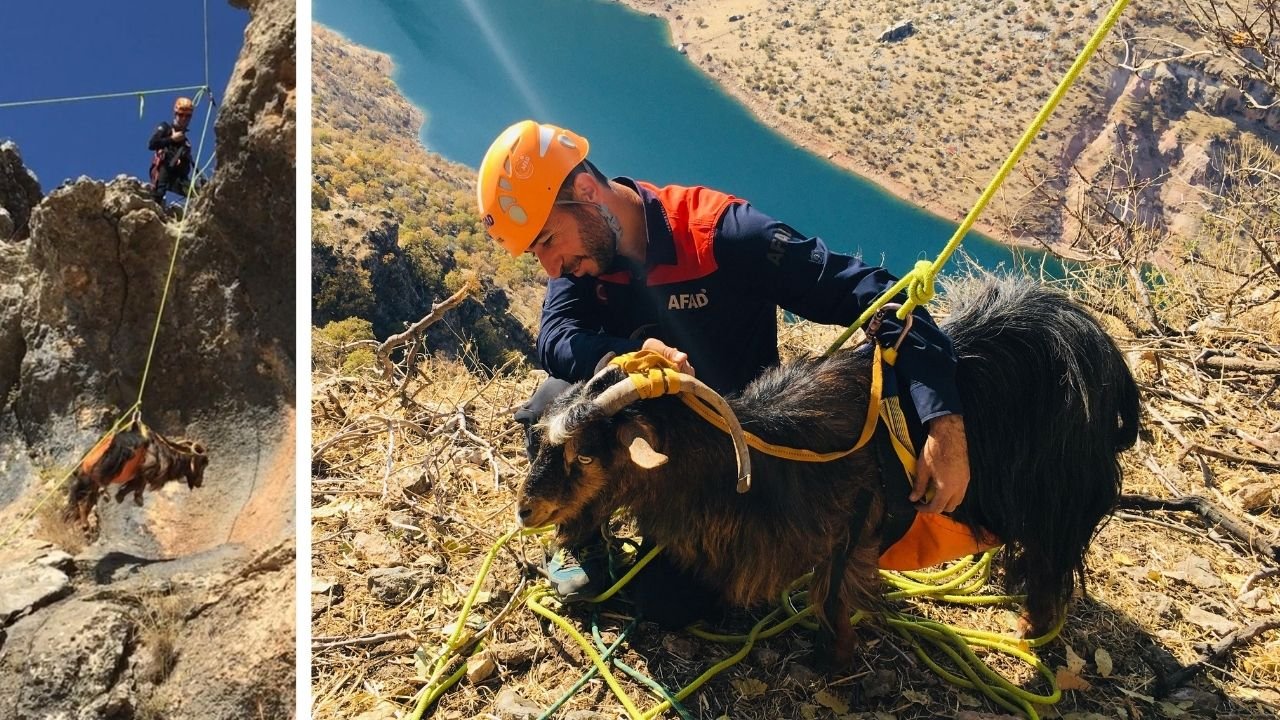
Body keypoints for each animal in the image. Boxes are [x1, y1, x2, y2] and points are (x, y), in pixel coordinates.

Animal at [65, 420, 207, 527]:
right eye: (202, 465)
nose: (200, 483)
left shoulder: (139, 475)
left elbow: (132, 486)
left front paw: (123, 496)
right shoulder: (145, 472)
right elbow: (137, 485)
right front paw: (134, 498)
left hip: (86, 480)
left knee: (83, 498)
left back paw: (84, 523)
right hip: (110, 463)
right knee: (96, 481)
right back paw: (104, 493)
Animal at [519, 279, 1141, 661]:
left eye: (587, 453)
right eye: (547, 439)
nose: (527, 510)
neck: (771, 451)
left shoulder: (854, 529)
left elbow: (834, 598)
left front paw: (834, 661)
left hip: (1059, 499)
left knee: (1051, 562)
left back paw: (1032, 625)